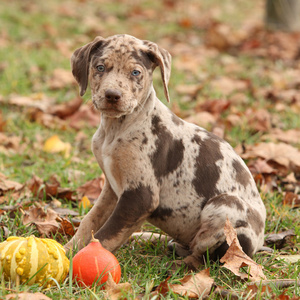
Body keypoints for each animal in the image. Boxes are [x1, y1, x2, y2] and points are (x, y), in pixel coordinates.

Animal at [64, 34, 266, 268]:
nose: (112, 95)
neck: (116, 130)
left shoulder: (140, 196)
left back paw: (175, 266)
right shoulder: (112, 190)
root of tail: (256, 248)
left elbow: (105, 236)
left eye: (136, 72)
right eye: (100, 67)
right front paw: (66, 250)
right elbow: (90, 222)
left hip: (224, 206)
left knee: (204, 256)